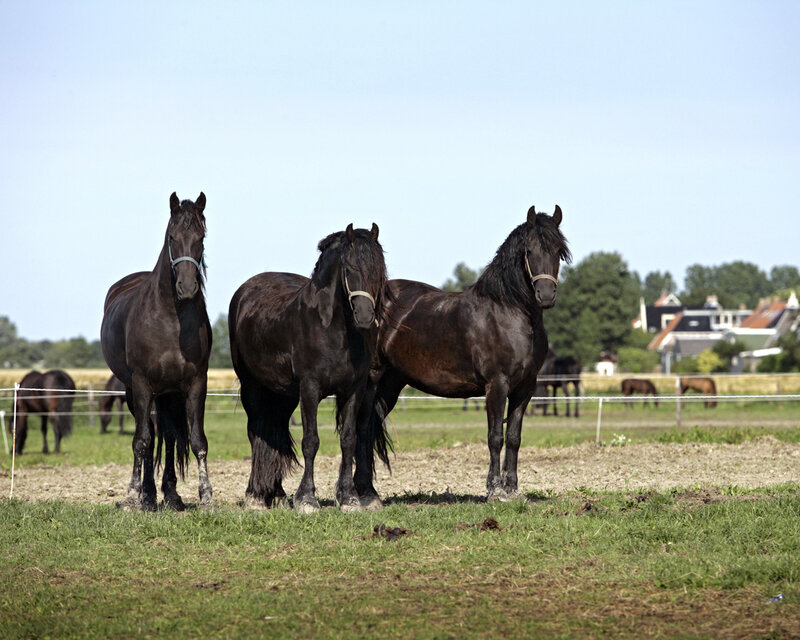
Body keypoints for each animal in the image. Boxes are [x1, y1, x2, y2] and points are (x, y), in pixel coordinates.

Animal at [101, 192, 213, 511]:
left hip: (167, 395)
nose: (187, 287)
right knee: (150, 436)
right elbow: (141, 441)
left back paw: (169, 495)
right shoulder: (141, 384)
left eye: (201, 237)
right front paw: (131, 496)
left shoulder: (196, 384)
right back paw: (147, 495)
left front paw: (206, 496)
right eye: (172, 237)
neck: (171, 321)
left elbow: (196, 441)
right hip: (136, 392)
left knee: (168, 436)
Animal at [229, 223, 388, 512]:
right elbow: (310, 441)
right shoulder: (310, 388)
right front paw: (306, 499)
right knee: (257, 432)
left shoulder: (354, 389)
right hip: (252, 387)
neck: (332, 328)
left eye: (378, 270)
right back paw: (256, 496)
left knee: (274, 433)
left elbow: (348, 439)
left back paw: (277, 495)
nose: (364, 316)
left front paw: (349, 498)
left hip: (283, 394)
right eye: (349, 268)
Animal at [357, 205, 570, 505]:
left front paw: (513, 490)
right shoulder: (497, 385)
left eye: (559, 251)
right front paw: (494, 490)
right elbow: (495, 437)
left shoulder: (525, 388)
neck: (508, 313)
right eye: (529, 250)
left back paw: (368, 493)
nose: (546, 294)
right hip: (372, 380)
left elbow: (513, 437)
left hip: (390, 385)